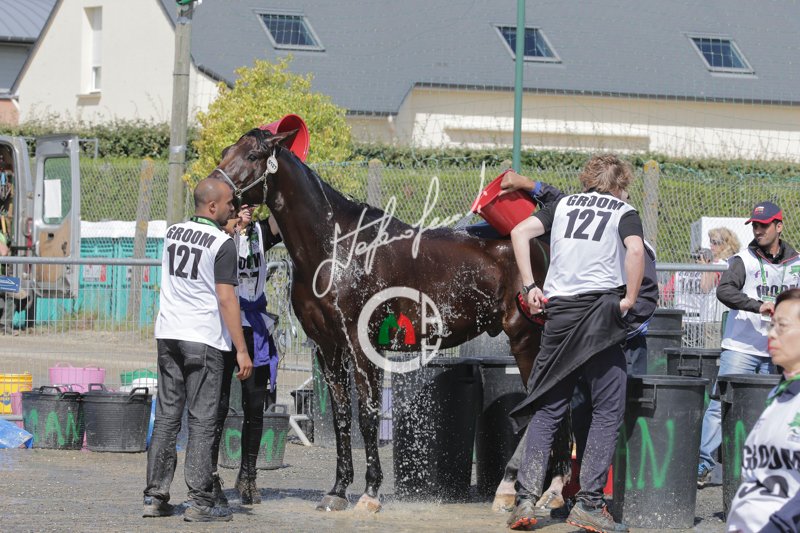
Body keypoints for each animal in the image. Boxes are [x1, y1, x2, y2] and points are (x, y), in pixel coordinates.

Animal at [211, 128, 548, 512]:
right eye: (226, 151)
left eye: (253, 156)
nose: (210, 190)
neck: (336, 251)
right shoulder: (328, 349)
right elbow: (343, 417)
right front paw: (337, 490)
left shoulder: (363, 346)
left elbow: (369, 415)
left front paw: (370, 493)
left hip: (525, 338)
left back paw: (515, 490)